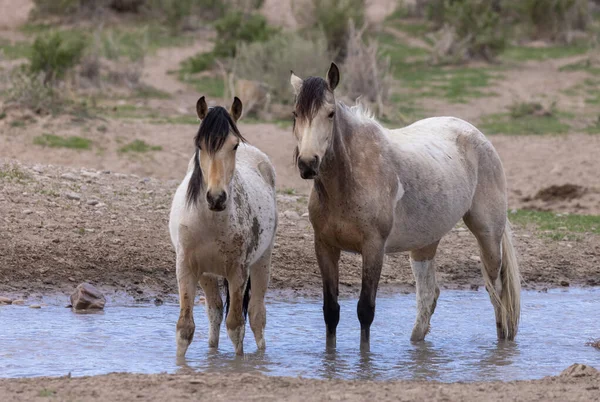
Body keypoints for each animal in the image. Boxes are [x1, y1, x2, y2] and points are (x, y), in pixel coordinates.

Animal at [168, 96, 278, 356]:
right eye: (200, 145)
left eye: (234, 146)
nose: (216, 198)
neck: (210, 223)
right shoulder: (186, 268)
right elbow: (185, 328)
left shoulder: (238, 272)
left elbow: (236, 327)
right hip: (207, 275)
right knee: (215, 312)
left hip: (262, 262)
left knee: (256, 316)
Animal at [290, 63, 520, 352]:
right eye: (295, 114)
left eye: (330, 114)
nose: (307, 164)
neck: (349, 179)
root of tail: (478, 136)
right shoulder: (324, 247)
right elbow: (331, 312)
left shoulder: (373, 248)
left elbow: (365, 310)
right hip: (425, 244)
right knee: (428, 295)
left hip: (488, 235)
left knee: (497, 293)